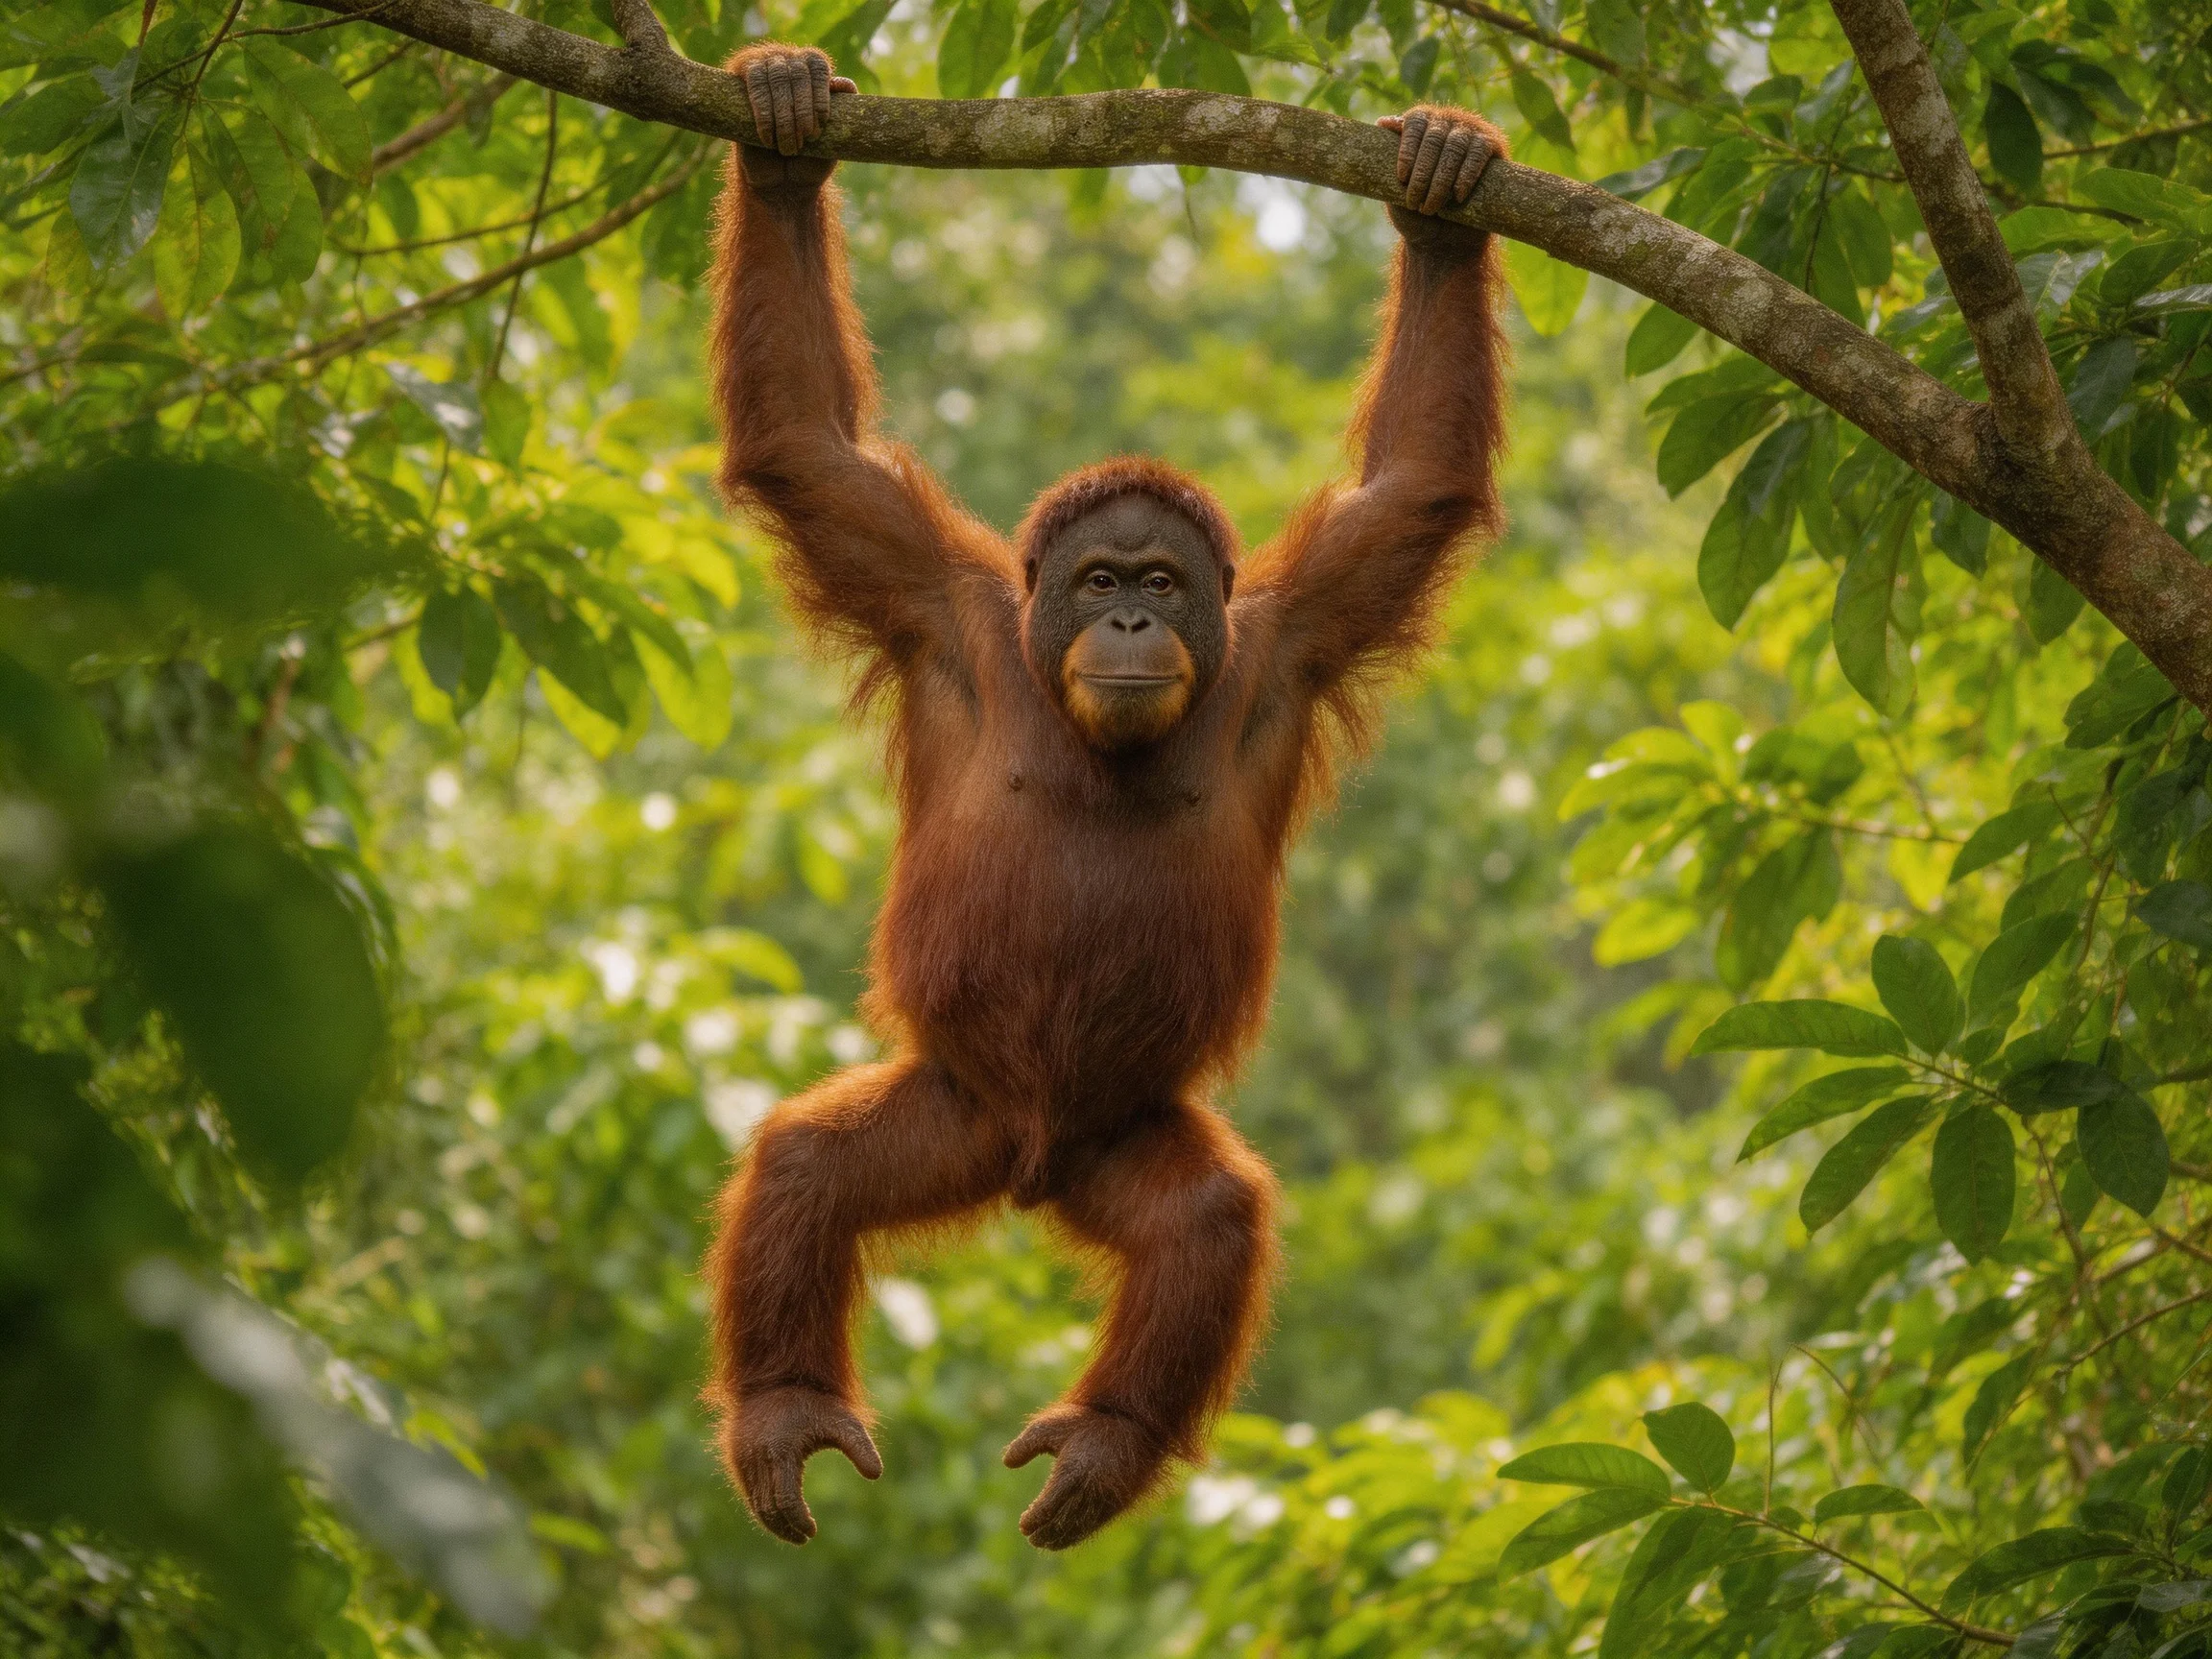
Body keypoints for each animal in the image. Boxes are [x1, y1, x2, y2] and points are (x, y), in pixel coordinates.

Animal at [704, 41, 1507, 1551]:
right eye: (1096, 581)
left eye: (1160, 582)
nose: (1131, 624)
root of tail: (1028, 1166)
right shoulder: (939, 606)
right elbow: (807, 448)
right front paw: (779, 133)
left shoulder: (1289, 639)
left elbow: (1414, 488)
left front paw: (1441, 196)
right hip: (952, 1104)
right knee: (804, 1167)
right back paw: (786, 1409)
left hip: (1115, 1138)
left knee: (1206, 1221)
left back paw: (1108, 1441)